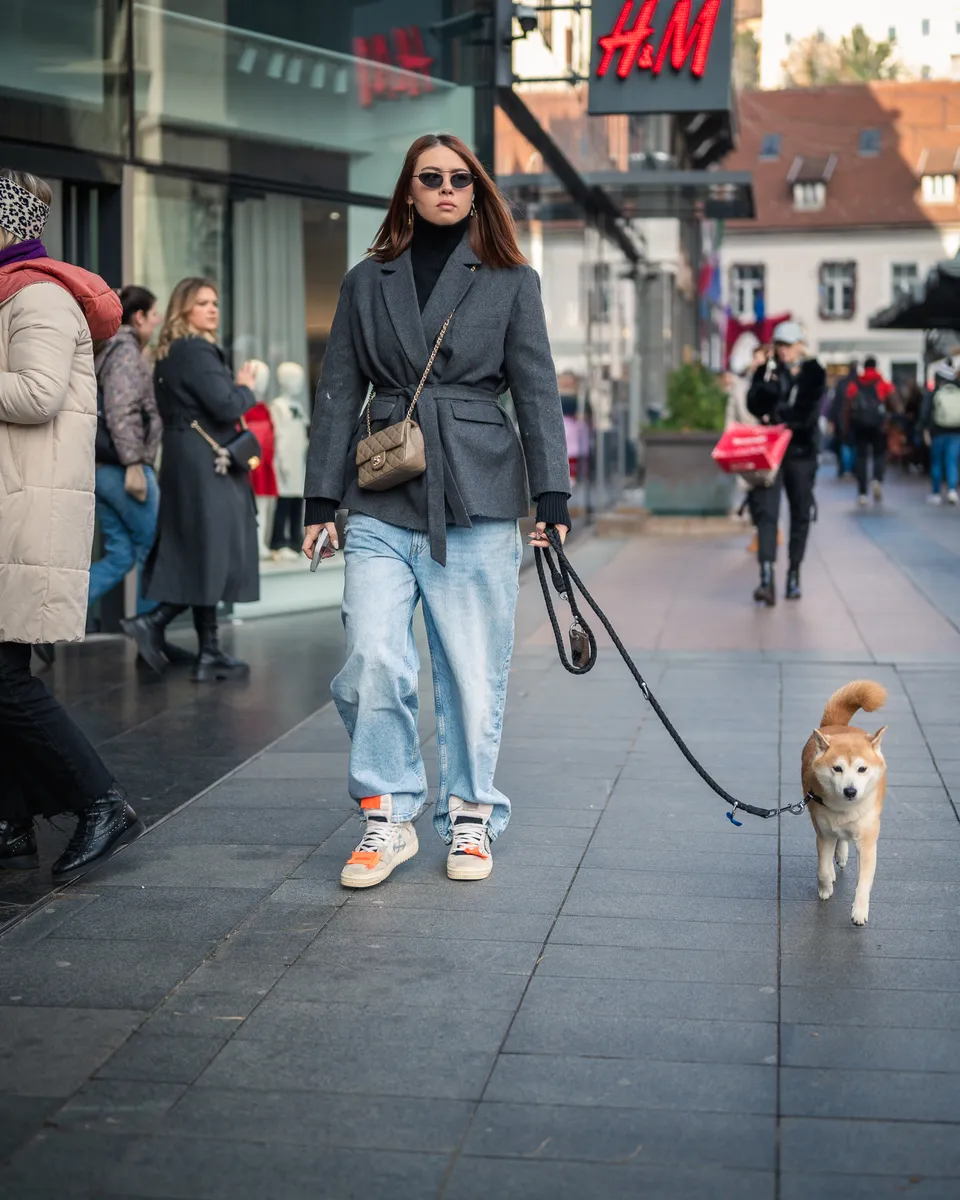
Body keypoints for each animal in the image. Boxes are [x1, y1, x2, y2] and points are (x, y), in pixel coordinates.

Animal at [796, 681, 888, 921]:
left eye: (862, 769)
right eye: (837, 768)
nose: (850, 791)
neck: (846, 810)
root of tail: (837, 725)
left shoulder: (867, 839)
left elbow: (864, 882)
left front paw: (859, 911)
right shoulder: (824, 833)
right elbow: (822, 868)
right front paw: (825, 887)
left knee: (844, 840)